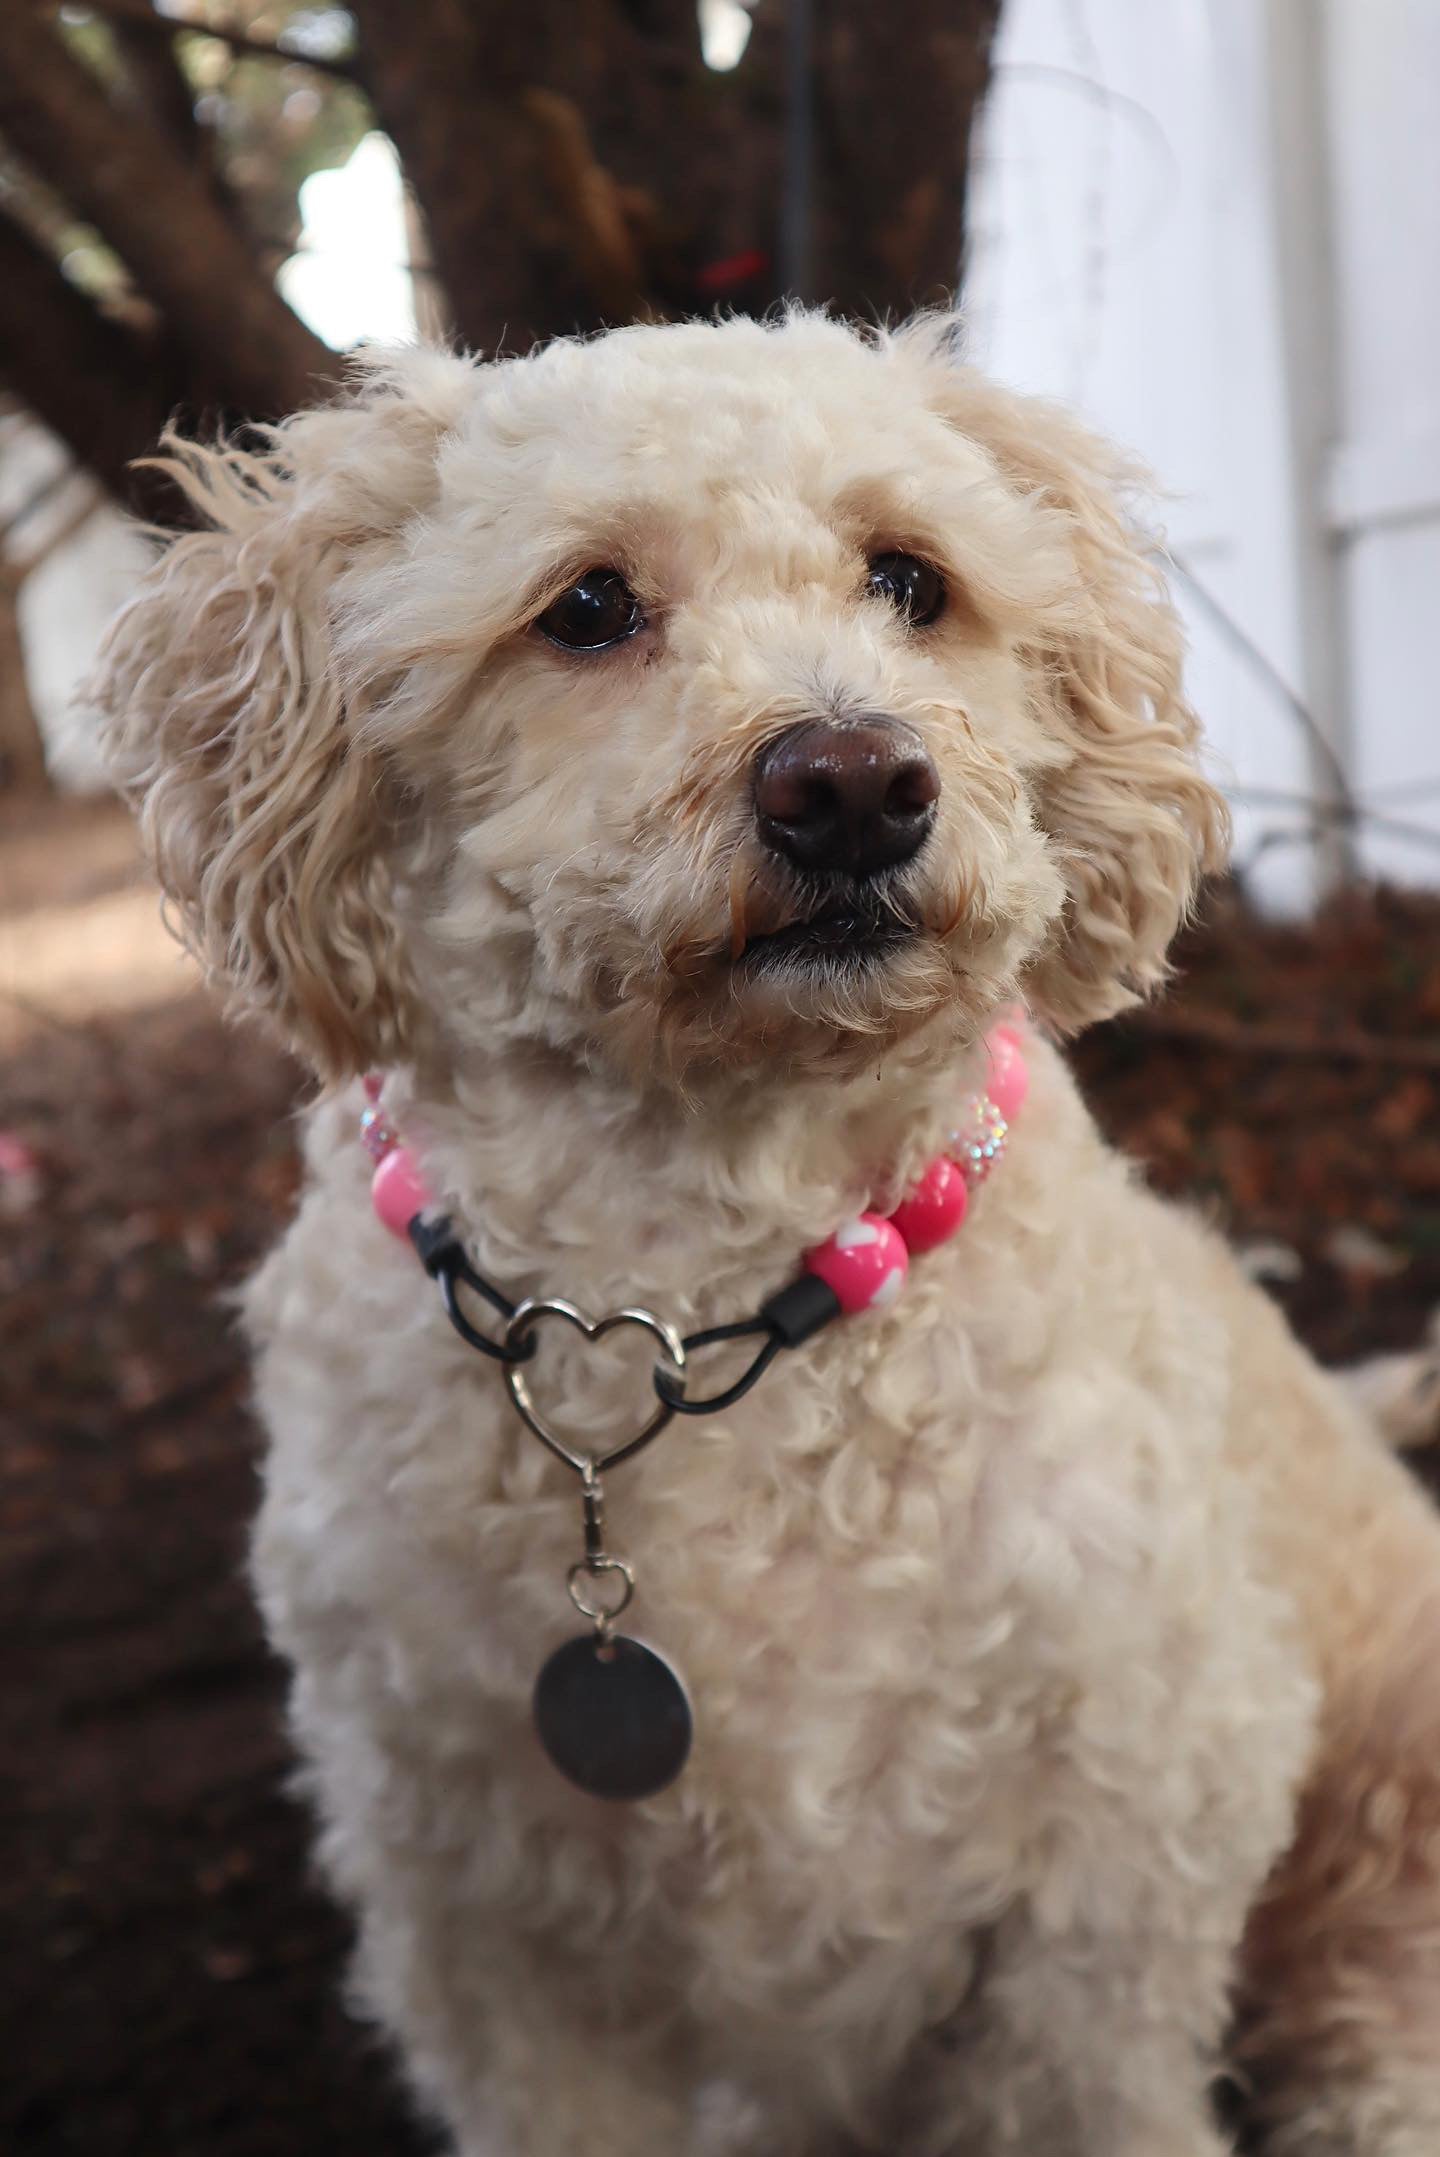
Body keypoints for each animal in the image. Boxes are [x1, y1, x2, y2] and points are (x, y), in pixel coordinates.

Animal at [92, 314, 1439, 2157]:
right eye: (587, 605)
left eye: (911, 577)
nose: (856, 782)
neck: (687, 1299)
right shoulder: (480, 1912)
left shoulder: (1120, 1858)